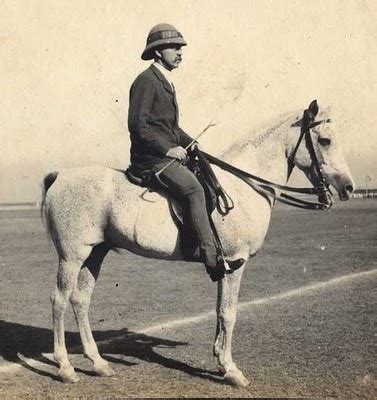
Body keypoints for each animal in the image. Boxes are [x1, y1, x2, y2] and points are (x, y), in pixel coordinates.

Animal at [42, 101, 354, 386]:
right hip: (72, 255)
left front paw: (220, 361)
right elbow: (229, 314)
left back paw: (98, 363)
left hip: (95, 253)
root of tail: (60, 176)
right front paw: (231, 370)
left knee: (80, 300)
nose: (348, 187)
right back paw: (65, 367)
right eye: (325, 140)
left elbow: (219, 311)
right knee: (59, 300)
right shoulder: (237, 262)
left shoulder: (225, 266)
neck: (244, 186)